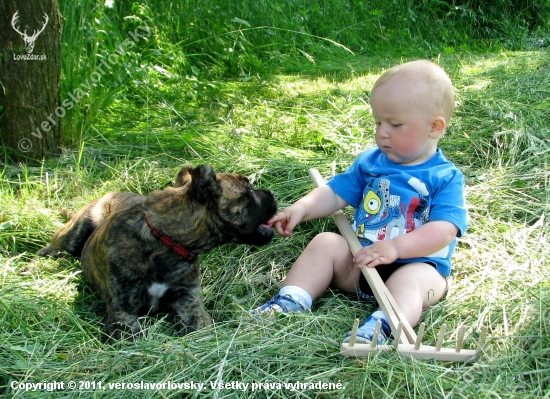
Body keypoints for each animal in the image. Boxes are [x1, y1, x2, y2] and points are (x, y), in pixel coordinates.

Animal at [38, 166, 278, 340]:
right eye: (248, 191)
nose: (274, 193)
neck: (165, 242)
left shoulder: (190, 303)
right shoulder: (122, 312)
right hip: (73, 235)